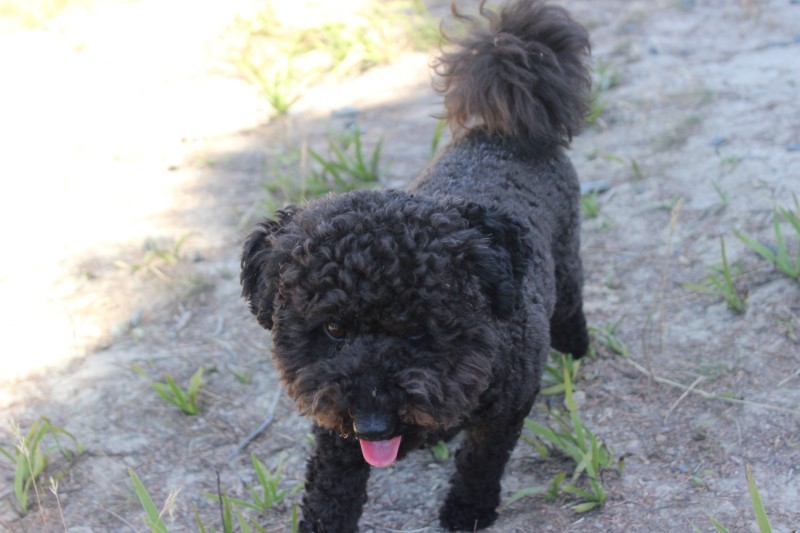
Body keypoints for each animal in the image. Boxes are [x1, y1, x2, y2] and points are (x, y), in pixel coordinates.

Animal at [241, 0, 591, 530]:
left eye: (420, 332)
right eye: (333, 330)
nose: (373, 424)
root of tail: (503, 132)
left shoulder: (507, 411)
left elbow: (481, 462)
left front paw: (467, 510)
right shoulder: (334, 425)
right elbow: (328, 491)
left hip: (567, 255)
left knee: (571, 302)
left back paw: (577, 349)